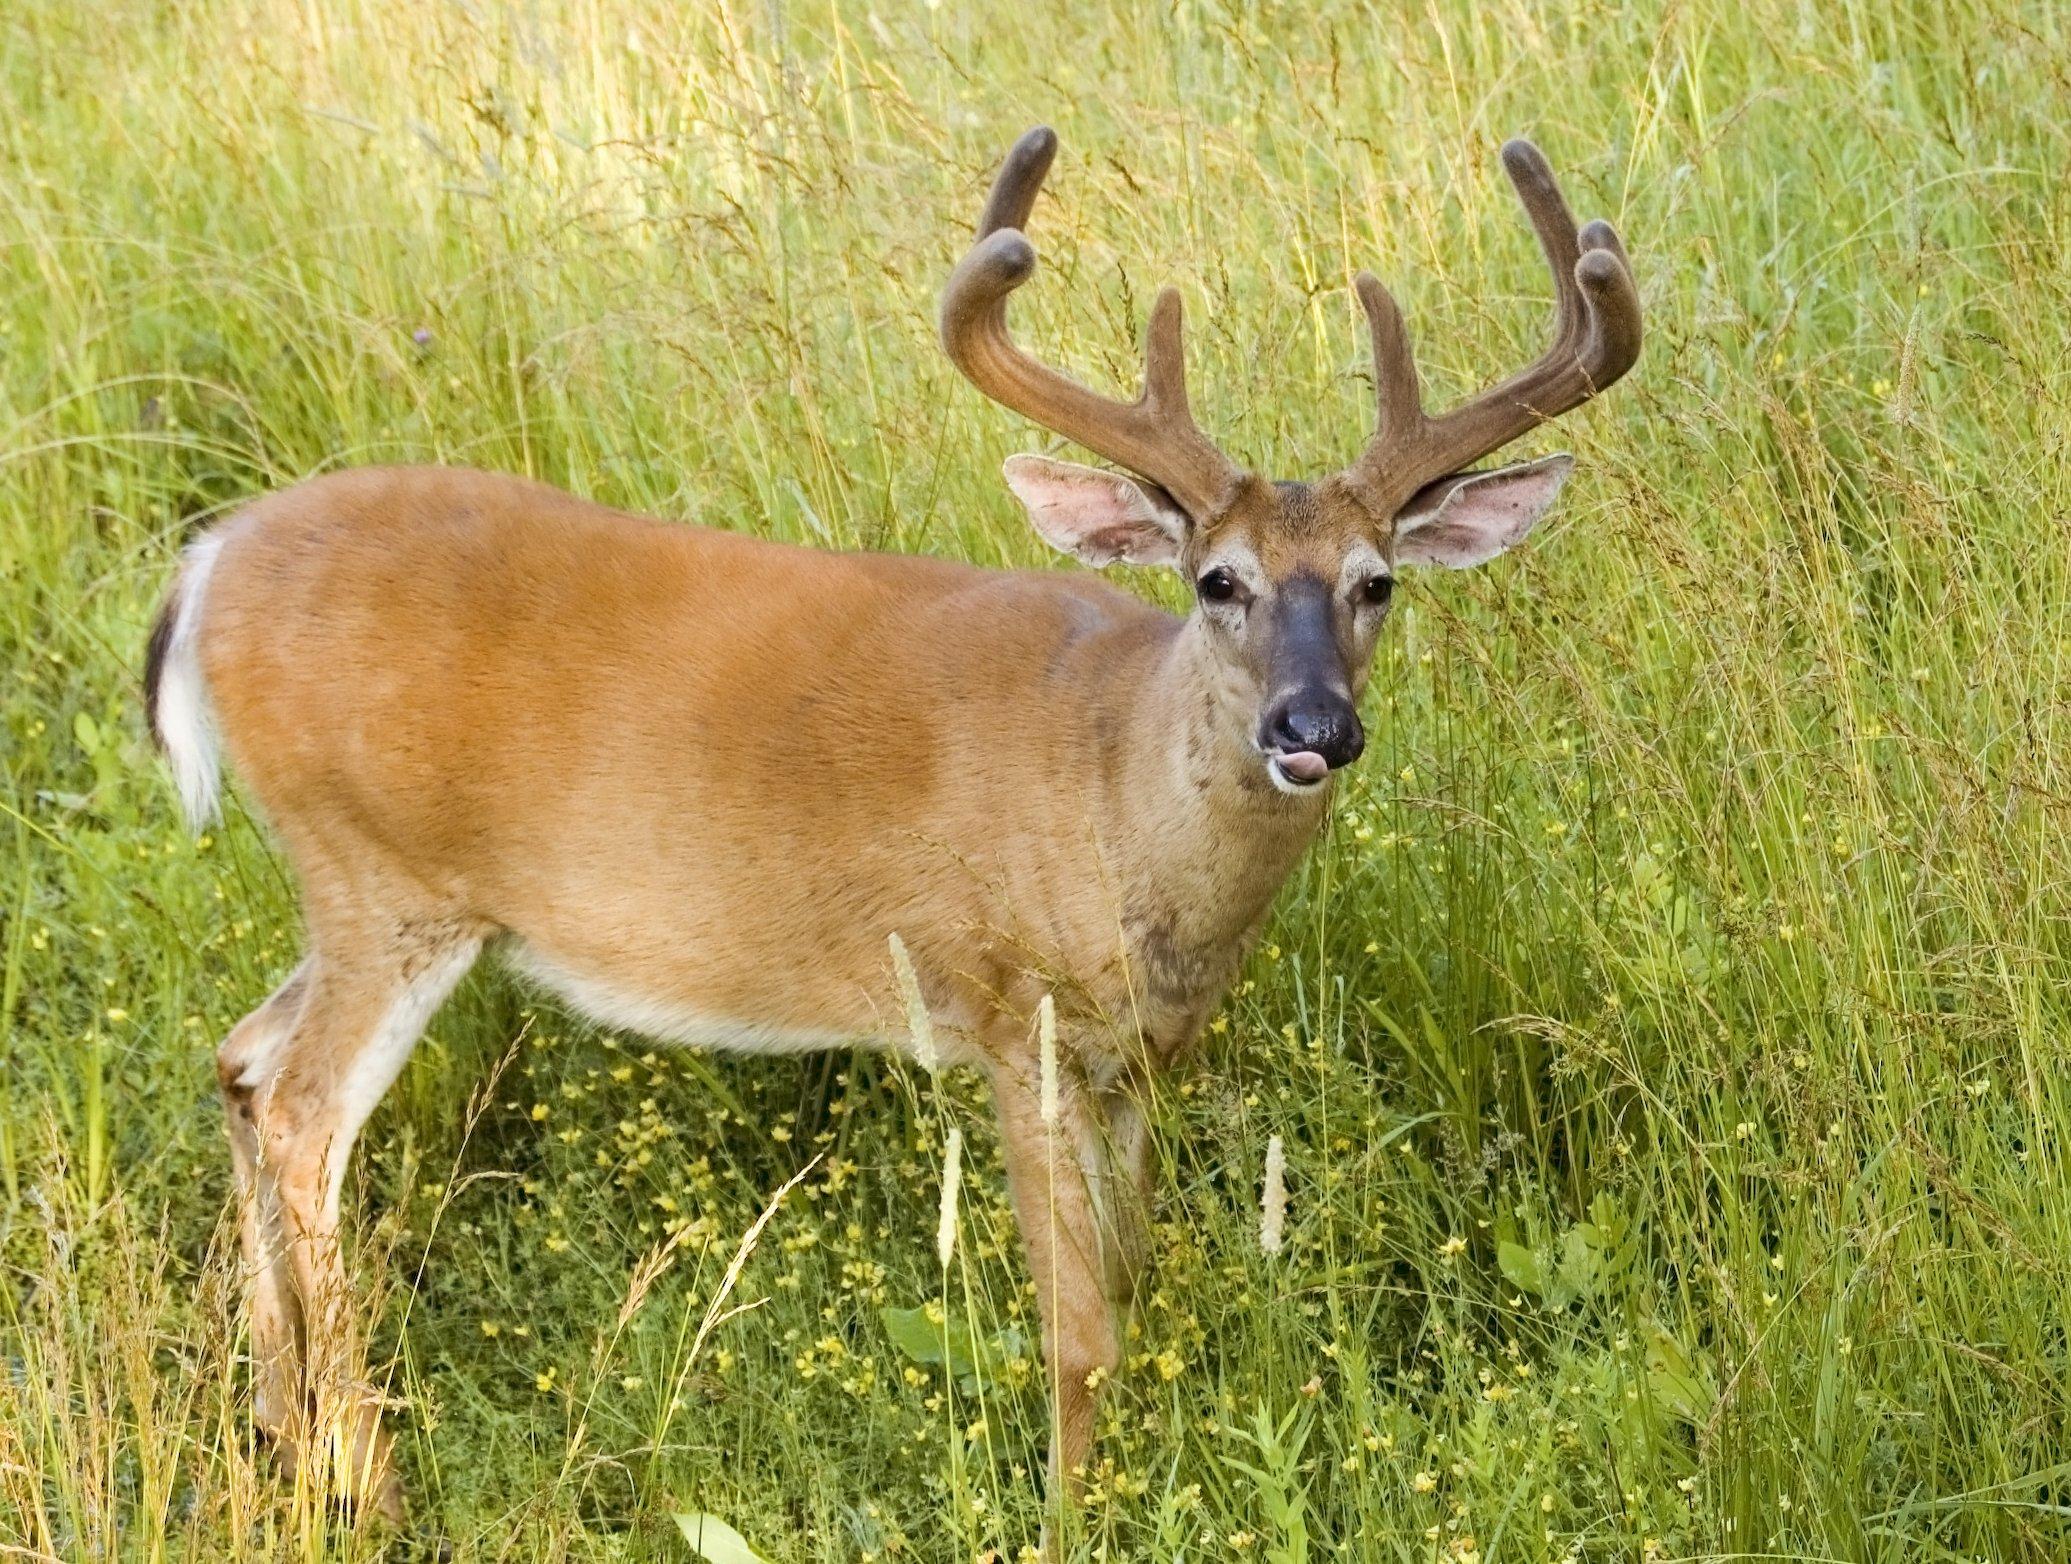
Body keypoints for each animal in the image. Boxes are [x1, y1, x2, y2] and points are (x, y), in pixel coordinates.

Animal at [137, 125, 1640, 1532]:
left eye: (1377, 582)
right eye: (1216, 579)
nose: (1311, 725)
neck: (1110, 789)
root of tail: (206, 565)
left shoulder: (1135, 1061)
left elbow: (1138, 1279)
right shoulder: (1013, 1016)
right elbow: (1082, 1332)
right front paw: (1069, 1516)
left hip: (349, 889)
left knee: (241, 1058)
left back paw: (276, 1427)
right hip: (383, 875)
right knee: (304, 1116)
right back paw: (367, 1479)